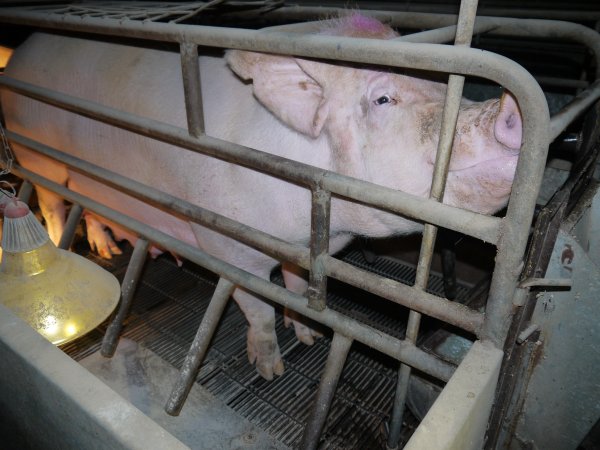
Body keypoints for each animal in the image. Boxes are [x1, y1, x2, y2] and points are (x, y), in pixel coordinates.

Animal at [1, 14, 520, 380]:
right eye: (383, 100)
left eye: (442, 87)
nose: (509, 109)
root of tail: (22, 52)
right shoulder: (228, 246)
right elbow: (258, 309)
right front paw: (271, 369)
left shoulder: (310, 247)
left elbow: (293, 284)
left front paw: (308, 336)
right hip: (36, 151)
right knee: (52, 204)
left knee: (92, 208)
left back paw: (109, 249)